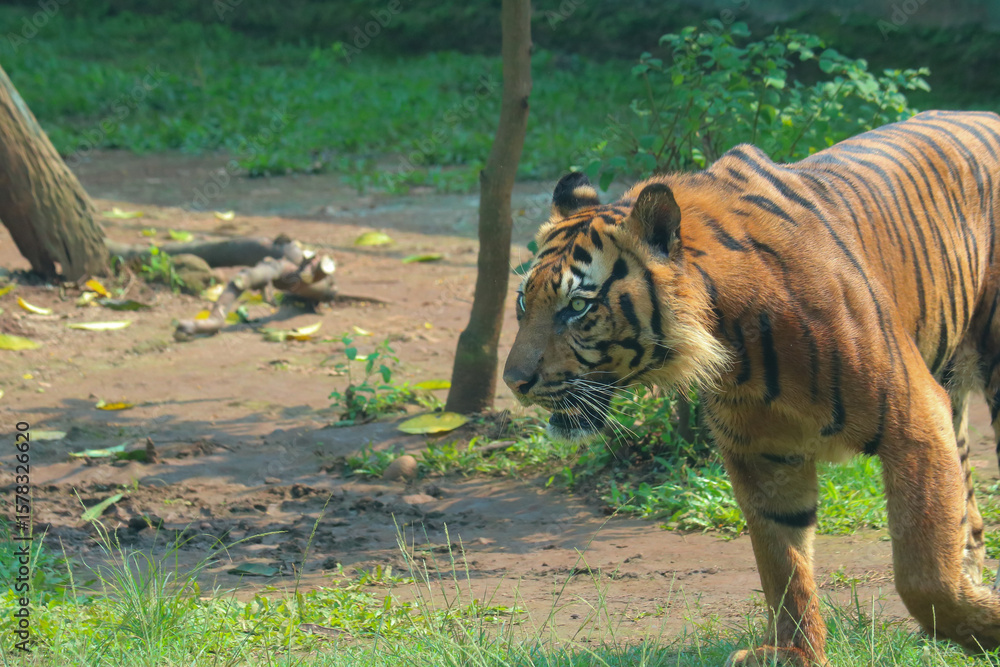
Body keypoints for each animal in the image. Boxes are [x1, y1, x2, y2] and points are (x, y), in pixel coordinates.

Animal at [503, 110, 1000, 666]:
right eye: (523, 302)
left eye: (578, 307)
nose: (513, 382)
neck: (734, 343)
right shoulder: (763, 453)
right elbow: (782, 563)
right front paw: (794, 652)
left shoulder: (913, 421)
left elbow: (923, 571)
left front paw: (985, 625)